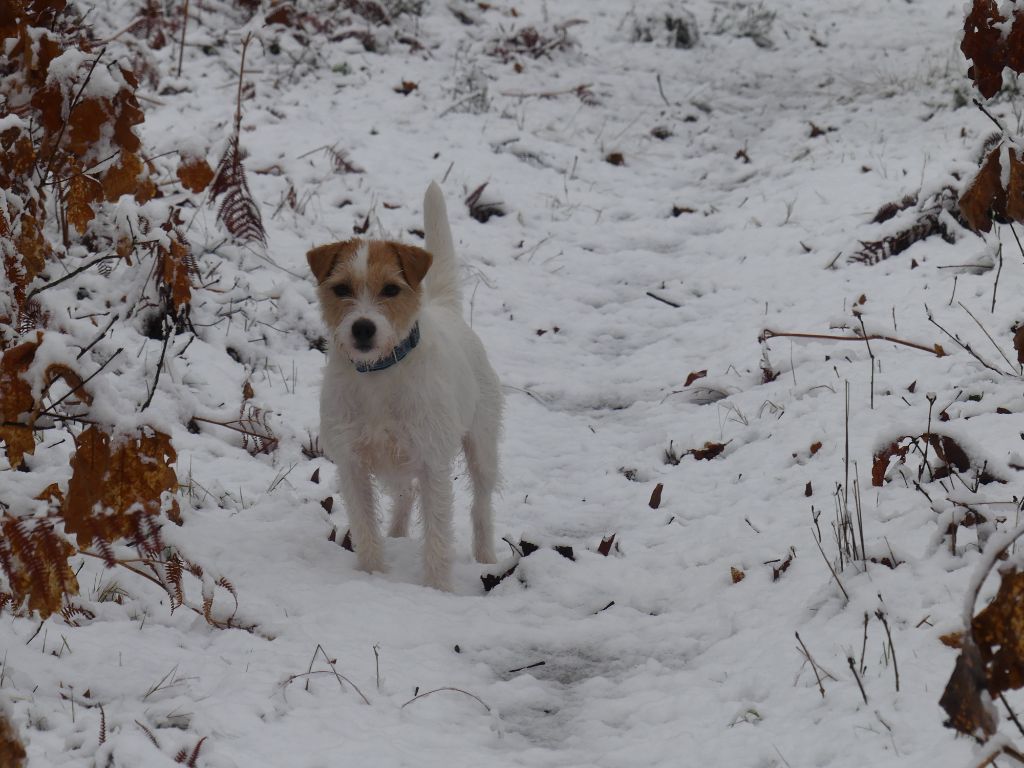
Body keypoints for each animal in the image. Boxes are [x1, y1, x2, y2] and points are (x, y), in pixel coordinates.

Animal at [307, 183, 503, 593]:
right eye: (342, 288)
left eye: (391, 289)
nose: (363, 328)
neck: (379, 375)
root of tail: (445, 308)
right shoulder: (352, 463)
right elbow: (366, 528)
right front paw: (372, 574)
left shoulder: (433, 462)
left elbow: (438, 536)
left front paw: (436, 590)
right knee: (404, 494)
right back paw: (397, 535)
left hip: (481, 447)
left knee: (480, 505)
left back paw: (485, 558)